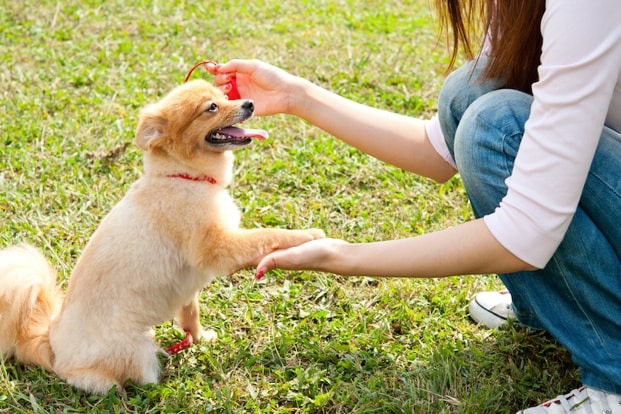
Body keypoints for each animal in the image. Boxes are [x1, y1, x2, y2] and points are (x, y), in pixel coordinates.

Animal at [0, 79, 326, 392]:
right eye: (211, 107)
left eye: (224, 96)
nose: (249, 103)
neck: (185, 177)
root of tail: (51, 343)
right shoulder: (217, 248)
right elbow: (266, 235)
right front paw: (307, 235)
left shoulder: (189, 287)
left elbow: (191, 315)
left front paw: (200, 338)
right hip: (134, 350)